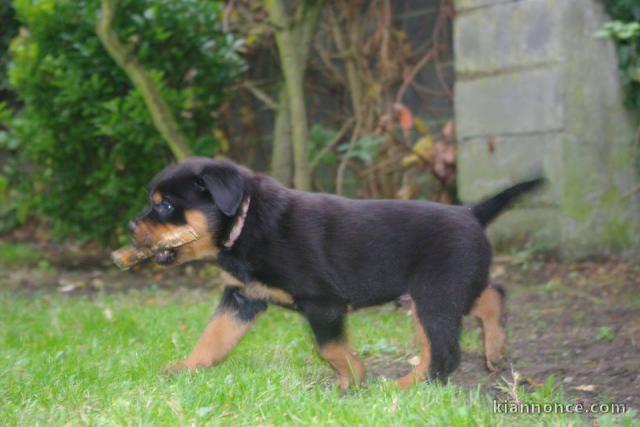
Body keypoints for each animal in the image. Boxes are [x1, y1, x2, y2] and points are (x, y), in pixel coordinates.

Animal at [130, 157, 544, 392]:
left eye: (164, 206)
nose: (132, 226)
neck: (245, 223)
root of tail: (471, 212)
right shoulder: (241, 297)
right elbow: (214, 337)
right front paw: (187, 367)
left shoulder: (323, 302)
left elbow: (329, 348)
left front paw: (354, 382)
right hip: (444, 289)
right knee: (490, 294)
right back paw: (493, 347)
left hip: (436, 292)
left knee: (446, 351)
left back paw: (402, 388)